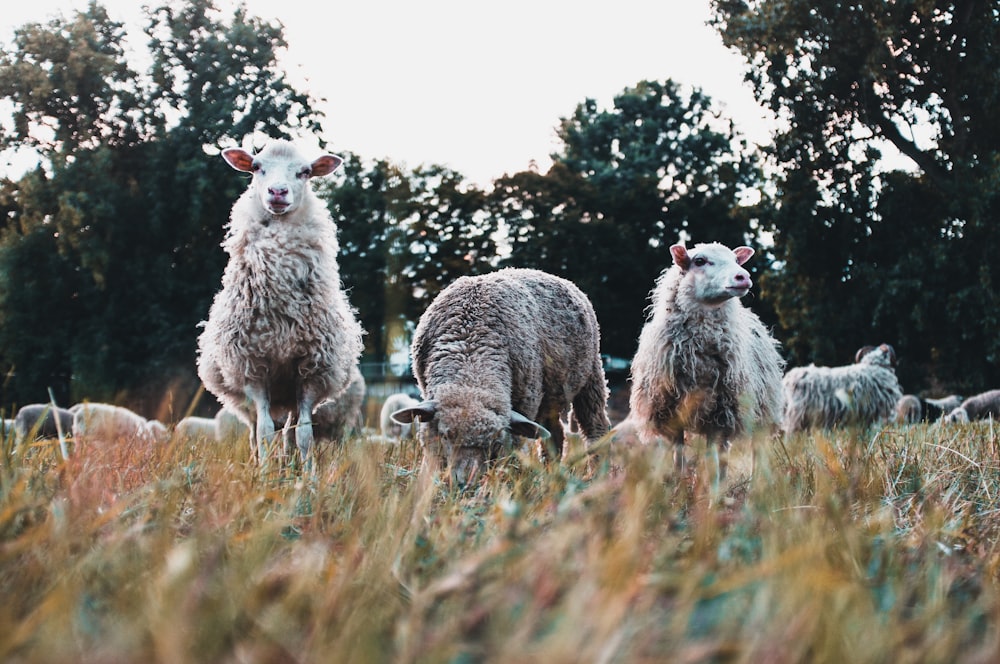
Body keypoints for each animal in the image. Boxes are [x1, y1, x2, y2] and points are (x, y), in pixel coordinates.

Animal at [195, 139, 364, 466]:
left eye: (305, 171)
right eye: (256, 167)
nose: (277, 192)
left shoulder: (311, 370)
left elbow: (305, 434)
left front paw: (308, 474)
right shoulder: (254, 368)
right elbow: (263, 432)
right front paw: (264, 473)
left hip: (289, 391)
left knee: (288, 430)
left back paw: (289, 464)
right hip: (250, 395)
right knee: (255, 430)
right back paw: (260, 463)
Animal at [388, 266, 608, 488]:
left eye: (494, 442)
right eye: (446, 435)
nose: (465, 483)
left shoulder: (524, 404)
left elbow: (511, 451)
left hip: (591, 376)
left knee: (594, 426)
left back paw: (596, 474)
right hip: (552, 396)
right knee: (554, 433)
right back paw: (550, 473)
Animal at [620, 241, 784, 490]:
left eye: (735, 260)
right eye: (699, 261)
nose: (743, 276)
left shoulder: (718, 415)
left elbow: (711, 458)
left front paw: (711, 492)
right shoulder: (672, 413)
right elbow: (679, 454)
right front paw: (679, 487)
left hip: (757, 410)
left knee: (751, 449)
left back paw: (751, 486)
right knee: (724, 450)